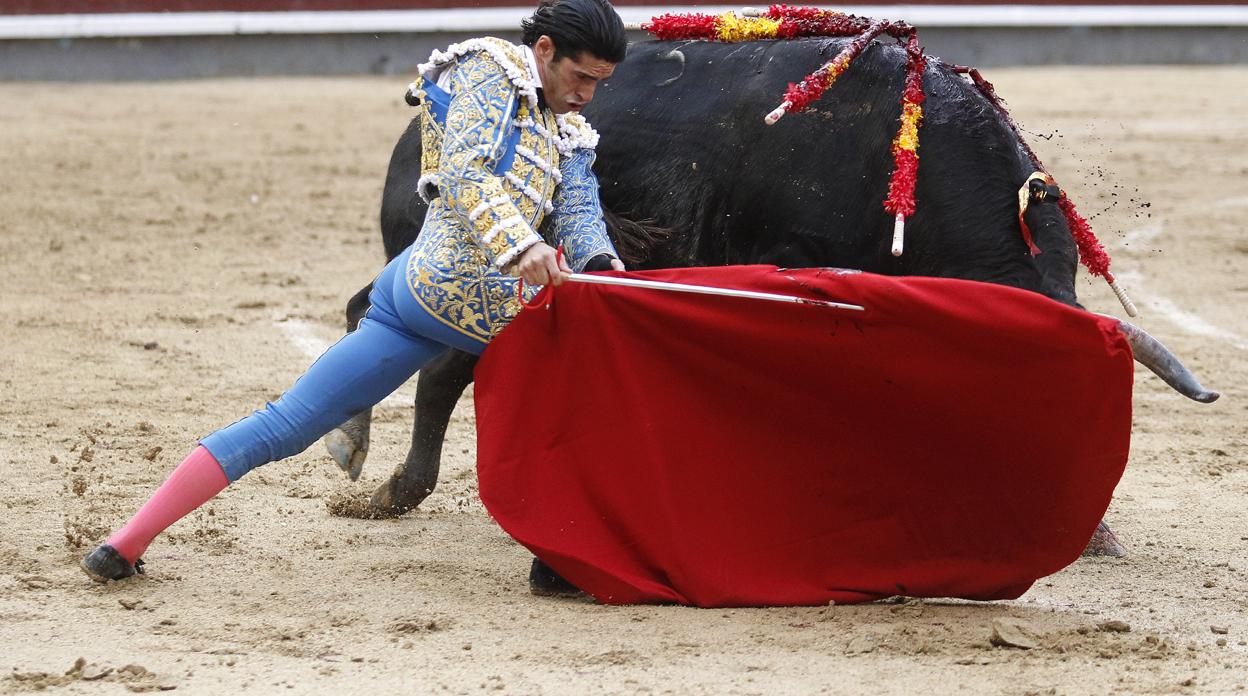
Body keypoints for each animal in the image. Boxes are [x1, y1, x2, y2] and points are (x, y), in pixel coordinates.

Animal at [321, 38, 1218, 561]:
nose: (1078, 526)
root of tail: (413, 136)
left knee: (431, 361)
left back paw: (388, 480)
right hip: (440, 260)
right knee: (395, 332)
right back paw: (364, 464)